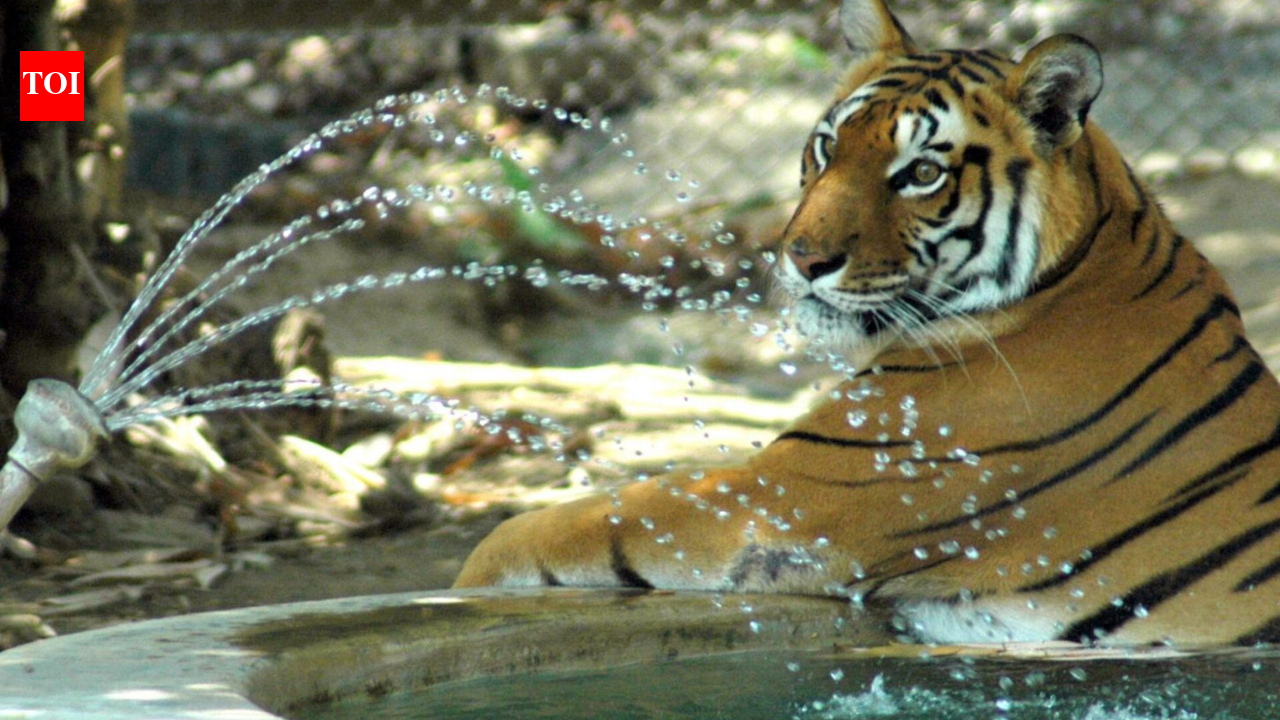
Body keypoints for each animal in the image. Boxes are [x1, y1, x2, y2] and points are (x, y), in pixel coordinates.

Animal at [454, 0, 1280, 648]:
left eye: (922, 173)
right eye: (827, 147)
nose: (801, 257)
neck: (1074, 274)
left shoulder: (784, 492)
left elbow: (558, 526)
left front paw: (469, 580)